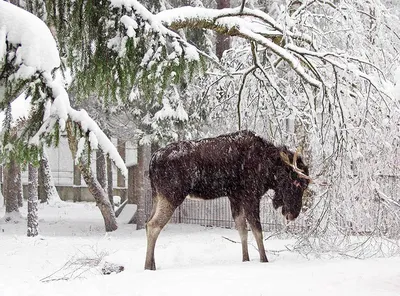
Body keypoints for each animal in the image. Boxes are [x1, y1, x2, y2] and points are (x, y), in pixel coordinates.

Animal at [145, 131, 310, 270]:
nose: (293, 213)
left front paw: (246, 259)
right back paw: (148, 266)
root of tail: (152, 161)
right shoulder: (251, 196)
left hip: (157, 196)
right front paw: (264, 260)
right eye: (297, 183)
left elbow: (242, 230)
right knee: (153, 225)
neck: (268, 170)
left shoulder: (235, 197)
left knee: (148, 223)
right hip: (172, 196)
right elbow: (257, 231)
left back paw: (152, 264)